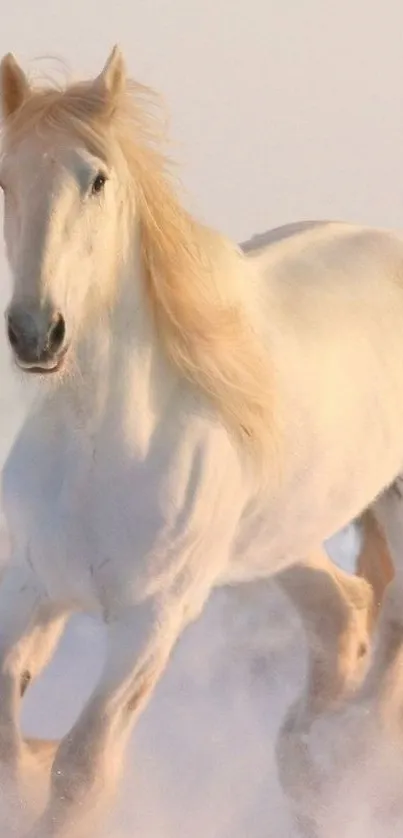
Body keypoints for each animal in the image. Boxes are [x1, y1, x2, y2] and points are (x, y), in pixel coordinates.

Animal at [0, 47, 403, 838]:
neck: (99, 452)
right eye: (3, 178)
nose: (36, 333)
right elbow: (11, 744)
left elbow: (82, 769)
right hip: (281, 536)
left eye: (96, 179)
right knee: (342, 612)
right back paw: (309, 766)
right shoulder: (30, 591)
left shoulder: (151, 621)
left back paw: (347, 759)